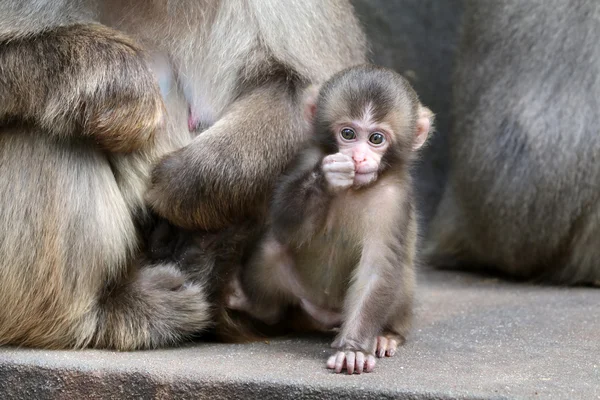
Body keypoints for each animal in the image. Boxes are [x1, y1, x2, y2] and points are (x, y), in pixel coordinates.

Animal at [0, 0, 366, 350]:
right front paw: (115, 77)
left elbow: (300, 89)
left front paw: (183, 182)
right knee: (41, 130)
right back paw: (99, 316)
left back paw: (202, 257)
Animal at [226, 64, 432, 374]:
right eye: (348, 133)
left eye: (376, 139)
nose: (358, 158)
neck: (357, 188)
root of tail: (326, 315)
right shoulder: (306, 157)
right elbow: (285, 226)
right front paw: (326, 178)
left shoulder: (393, 199)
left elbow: (378, 266)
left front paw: (353, 350)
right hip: (302, 297)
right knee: (273, 248)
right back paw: (258, 307)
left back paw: (387, 335)